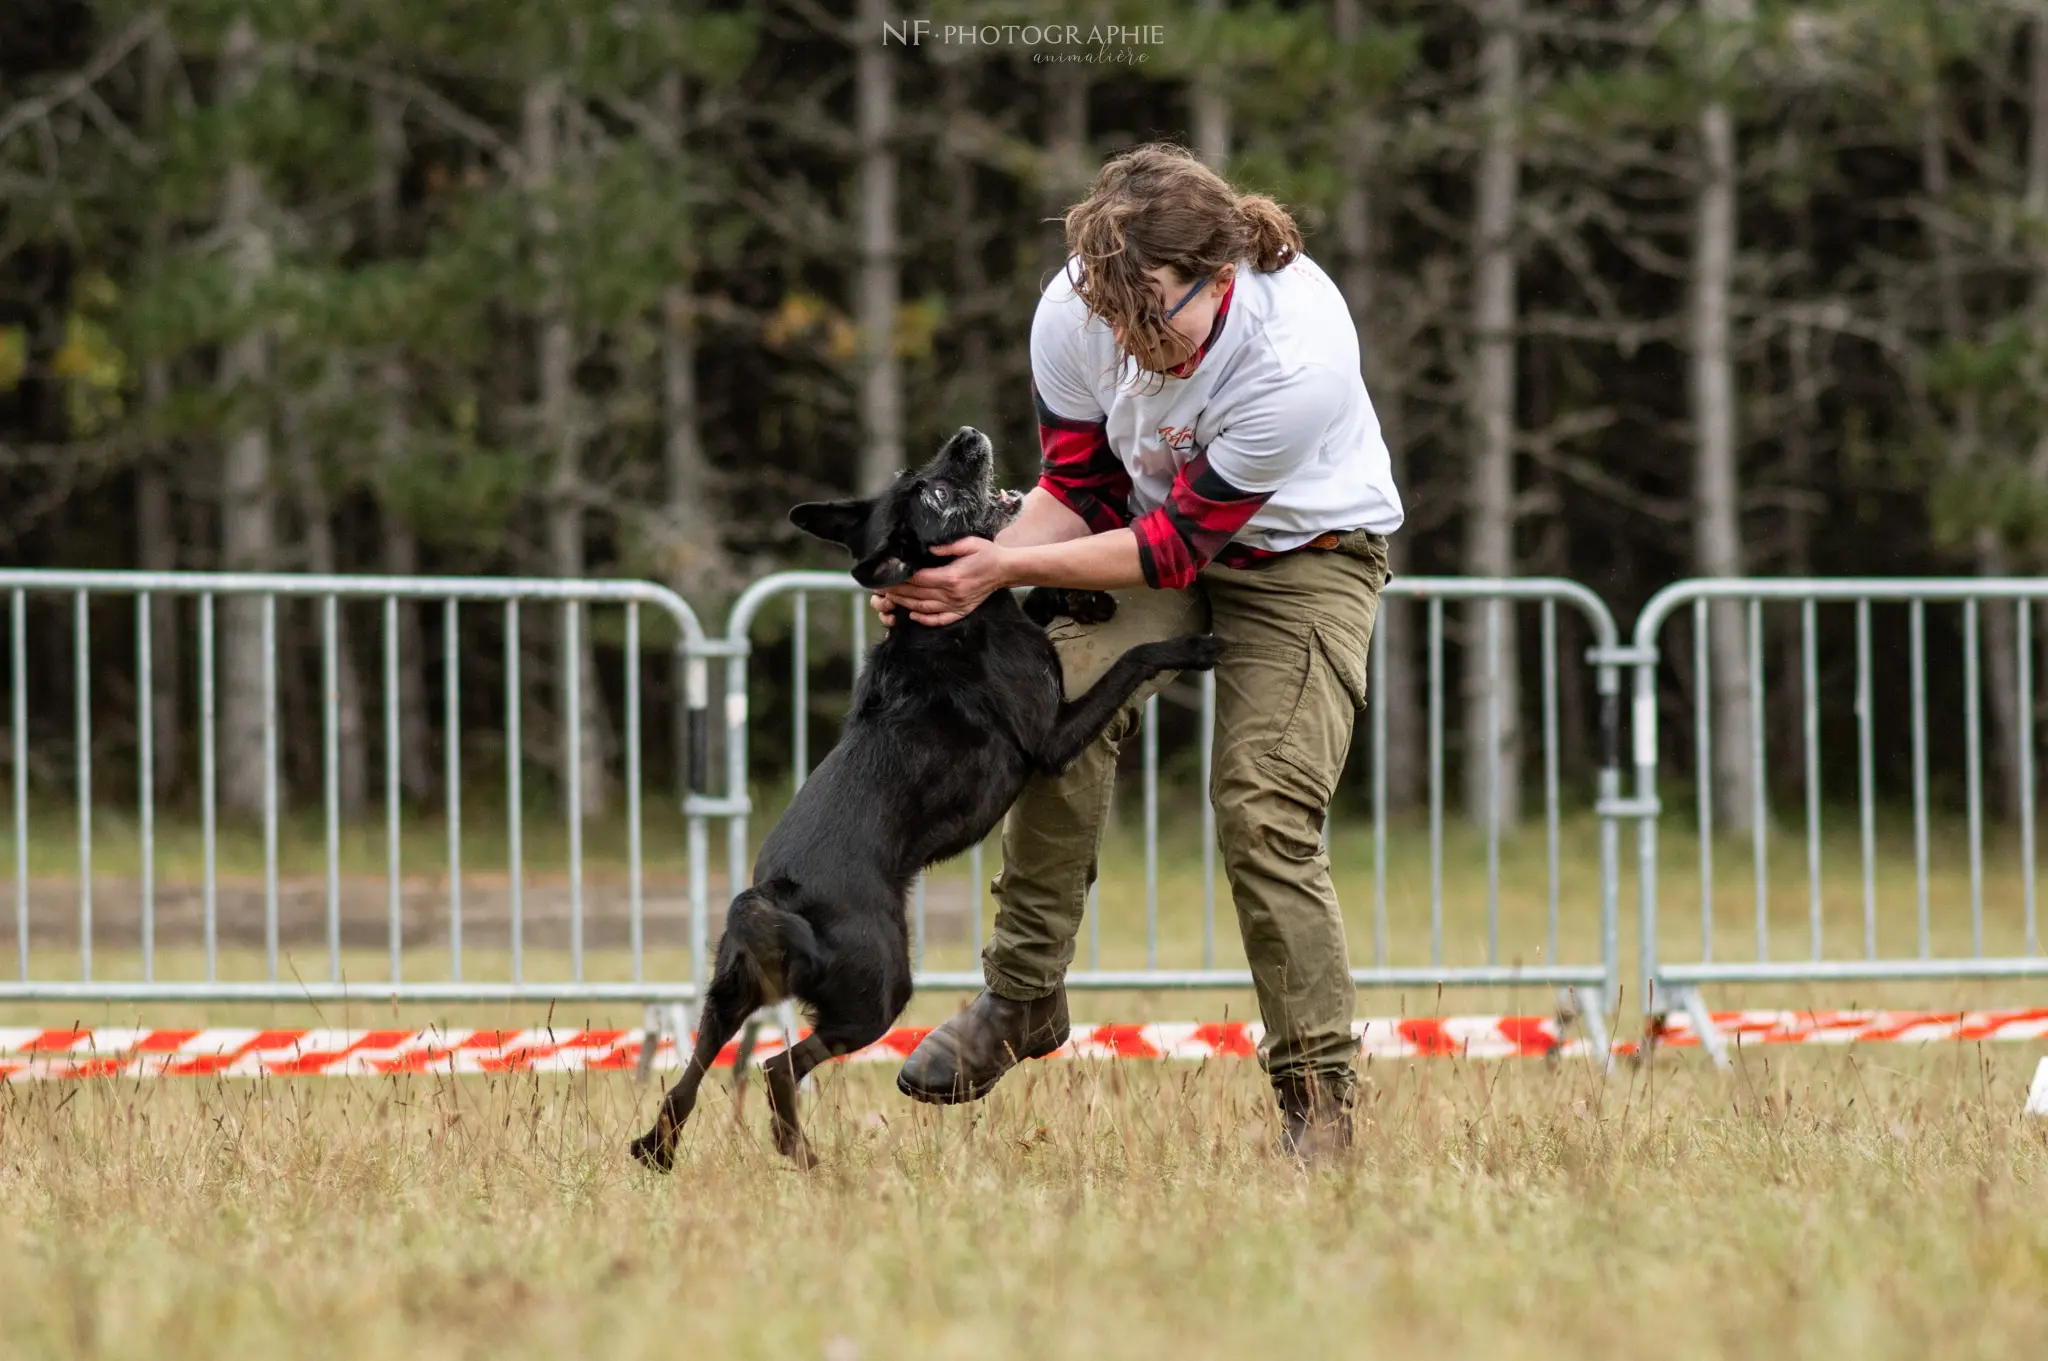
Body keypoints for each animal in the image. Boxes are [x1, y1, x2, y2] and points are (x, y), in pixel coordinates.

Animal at [630, 425, 1220, 1170]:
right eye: (935, 496)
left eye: (917, 476)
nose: (967, 436)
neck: (947, 622)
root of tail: (771, 899)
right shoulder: (1053, 739)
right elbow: (1129, 660)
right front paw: (1188, 645)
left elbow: (1028, 588)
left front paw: (1084, 599)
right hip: (879, 987)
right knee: (777, 1066)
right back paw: (805, 1158)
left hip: (729, 998)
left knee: (691, 1073)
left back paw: (667, 1149)